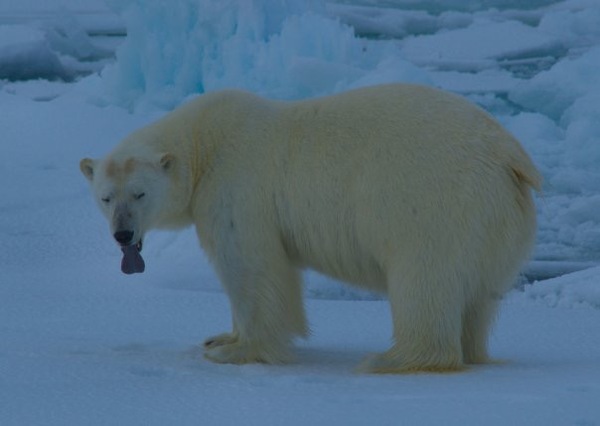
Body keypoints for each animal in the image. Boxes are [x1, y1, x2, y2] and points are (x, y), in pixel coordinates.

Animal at [79, 84, 540, 372]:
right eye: (106, 197)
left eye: (139, 194)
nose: (123, 235)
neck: (204, 142)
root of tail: (509, 157)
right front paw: (219, 338)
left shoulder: (235, 187)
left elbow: (251, 267)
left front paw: (237, 351)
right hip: (496, 225)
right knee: (478, 298)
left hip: (433, 203)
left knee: (423, 279)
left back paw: (391, 359)